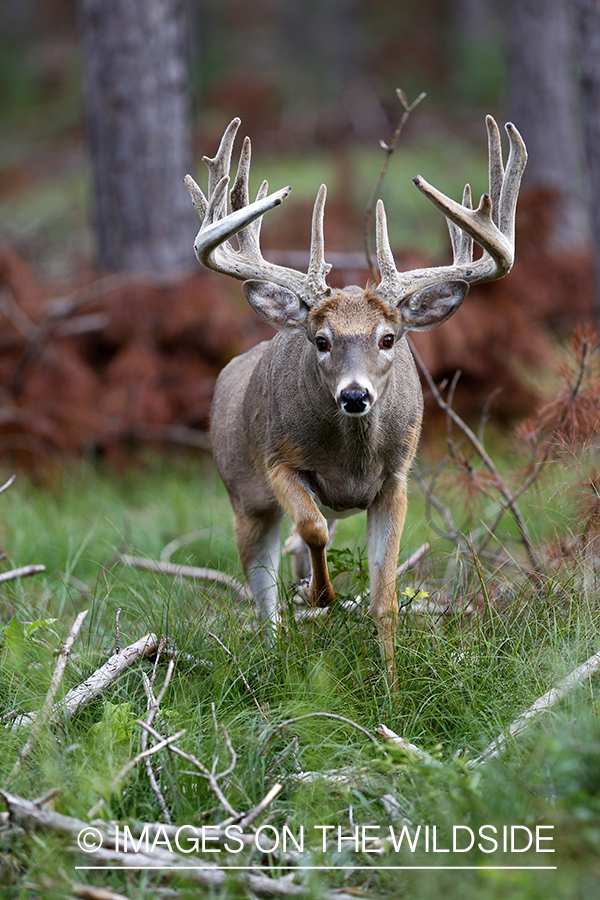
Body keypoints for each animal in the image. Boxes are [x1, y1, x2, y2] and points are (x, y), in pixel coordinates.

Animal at [184, 116, 524, 684]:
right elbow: (313, 526)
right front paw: (321, 596)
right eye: (321, 340)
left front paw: (391, 687)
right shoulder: (278, 459)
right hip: (243, 496)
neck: (351, 463)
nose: (355, 395)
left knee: (288, 560)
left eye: (388, 338)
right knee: (263, 590)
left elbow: (385, 598)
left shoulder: (396, 478)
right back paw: (279, 645)